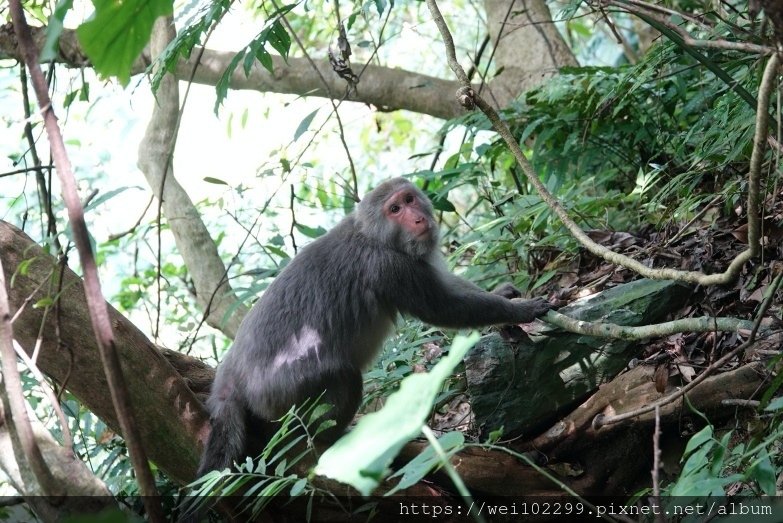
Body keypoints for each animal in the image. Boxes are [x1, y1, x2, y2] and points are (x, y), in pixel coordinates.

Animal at [195, 179, 552, 478]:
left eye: (409, 199)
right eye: (395, 210)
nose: (417, 219)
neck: (372, 235)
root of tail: (228, 383)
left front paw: (503, 294)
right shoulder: (388, 267)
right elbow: (444, 309)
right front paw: (520, 310)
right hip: (279, 393)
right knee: (343, 374)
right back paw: (334, 436)